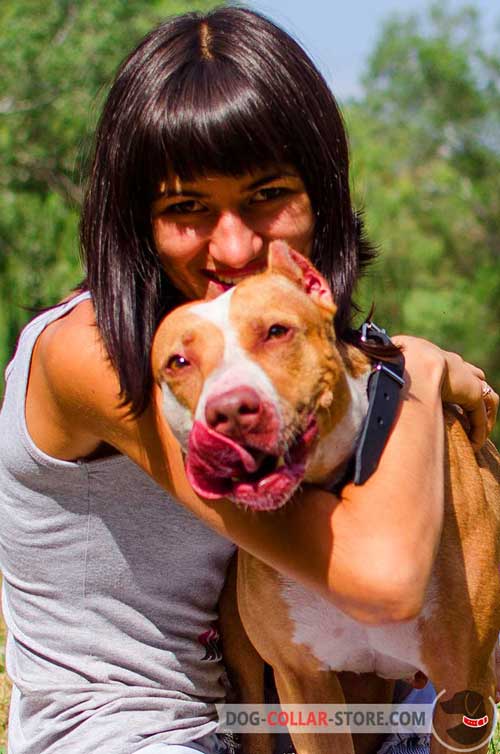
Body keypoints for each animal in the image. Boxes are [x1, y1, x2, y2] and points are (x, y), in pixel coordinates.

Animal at [151, 241, 500, 752]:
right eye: (178, 361)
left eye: (277, 331)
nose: (230, 412)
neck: (350, 505)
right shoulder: (305, 683)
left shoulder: (463, 681)